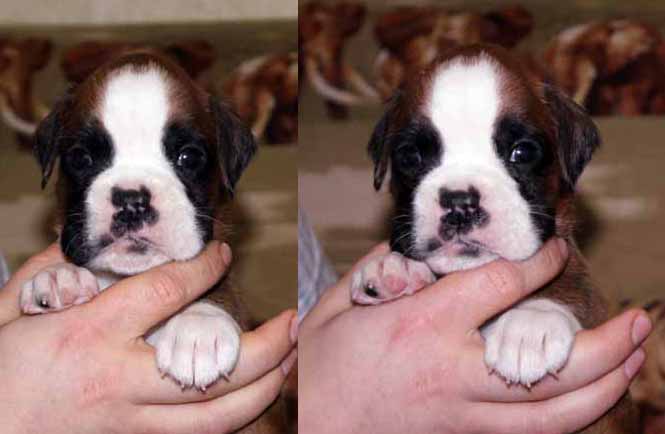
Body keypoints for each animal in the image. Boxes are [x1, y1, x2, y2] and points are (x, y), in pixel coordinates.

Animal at [15, 50, 289, 432]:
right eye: (82, 158)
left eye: (188, 157)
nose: (132, 200)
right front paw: (59, 276)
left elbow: (220, 288)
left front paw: (198, 324)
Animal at [352, 44, 637, 433]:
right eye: (411, 156)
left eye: (522, 152)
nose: (460, 202)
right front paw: (394, 266)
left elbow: (568, 286)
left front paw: (531, 323)